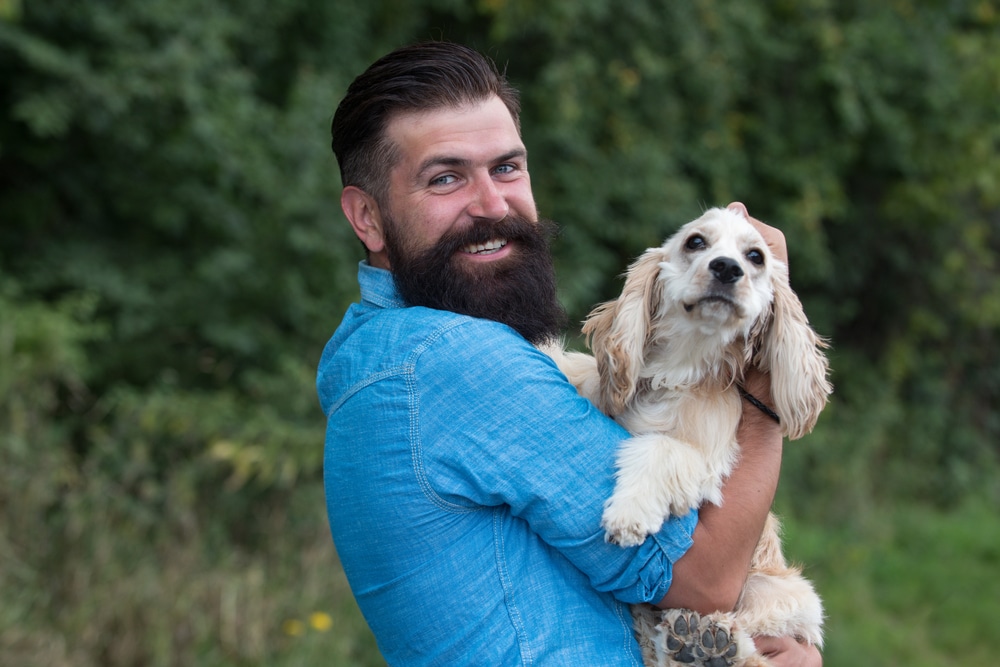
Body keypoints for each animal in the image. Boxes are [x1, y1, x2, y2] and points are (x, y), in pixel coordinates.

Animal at [544, 206, 832, 664]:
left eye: (755, 256)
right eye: (696, 242)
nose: (727, 268)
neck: (679, 366)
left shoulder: (708, 462)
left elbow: (660, 448)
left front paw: (629, 512)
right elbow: (574, 368)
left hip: (781, 593)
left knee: (748, 645)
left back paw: (707, 643)